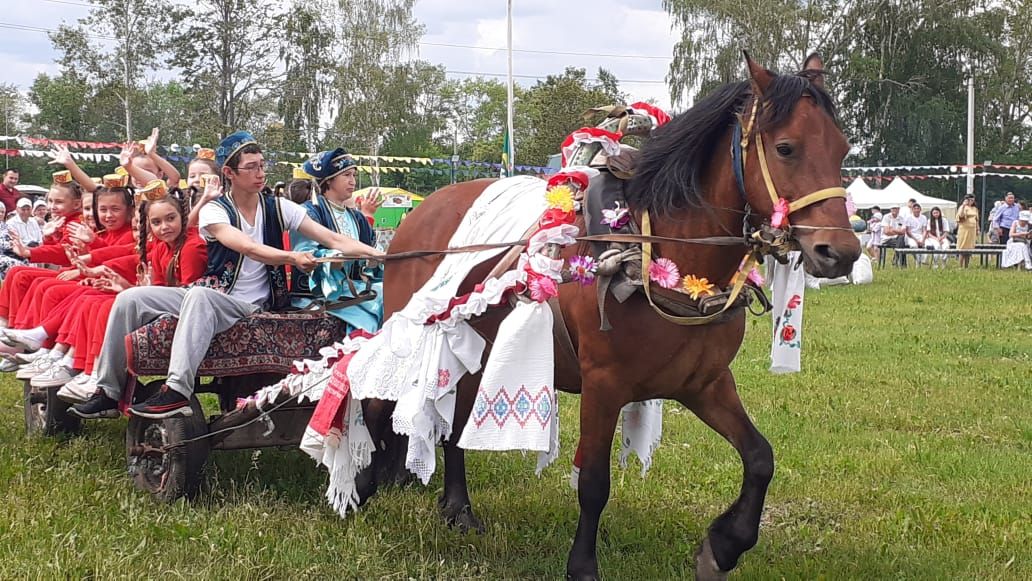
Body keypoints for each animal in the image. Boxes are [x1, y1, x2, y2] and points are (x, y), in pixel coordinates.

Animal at [359, 53, 858, 577]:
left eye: (843, 149)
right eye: (785, 148)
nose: (839, 252)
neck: (657, 249)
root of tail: (418, 213)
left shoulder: (704, 383)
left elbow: (761, 457)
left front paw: (724, 544)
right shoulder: (604, 384)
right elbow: (594, 483)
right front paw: (583, 565)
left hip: (476, 348)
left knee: (455, 423)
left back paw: (458, 507)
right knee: (376, 397)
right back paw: (366, 482)